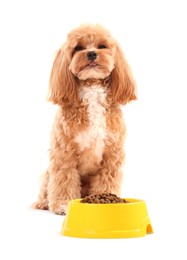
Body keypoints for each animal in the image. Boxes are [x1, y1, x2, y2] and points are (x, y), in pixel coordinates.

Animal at [32, 23, 137, 215]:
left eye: (102, 46)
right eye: (78, 48)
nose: (92, 53)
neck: (92, 89)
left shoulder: (112, 155)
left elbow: (107, 180)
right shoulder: (64, 153)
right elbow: (64, 179)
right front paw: (63, 204)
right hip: (48, 173)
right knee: (47, 190)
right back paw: (44, 203)